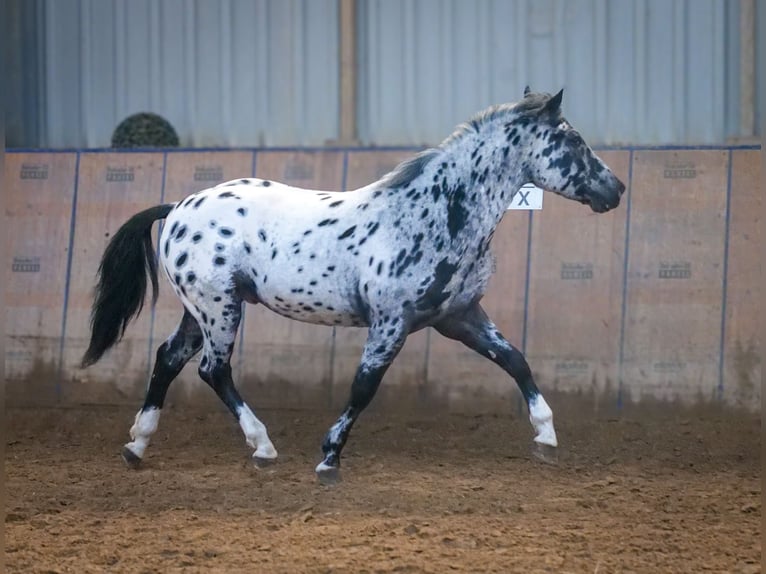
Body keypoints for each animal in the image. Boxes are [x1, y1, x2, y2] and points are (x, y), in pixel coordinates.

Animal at [82, 89, 624, 486]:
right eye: (574, 141)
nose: (616, 189)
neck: (436, 214)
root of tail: (176, 207)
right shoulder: (391, 323)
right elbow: (364, 388)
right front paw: (329, 459)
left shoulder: (459, 317)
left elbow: (515, 360)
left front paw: (546, 438)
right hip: (219, 309)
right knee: (213, 370)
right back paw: (262, 447)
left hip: (202, 310)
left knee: (168, 359)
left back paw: (137, 445)